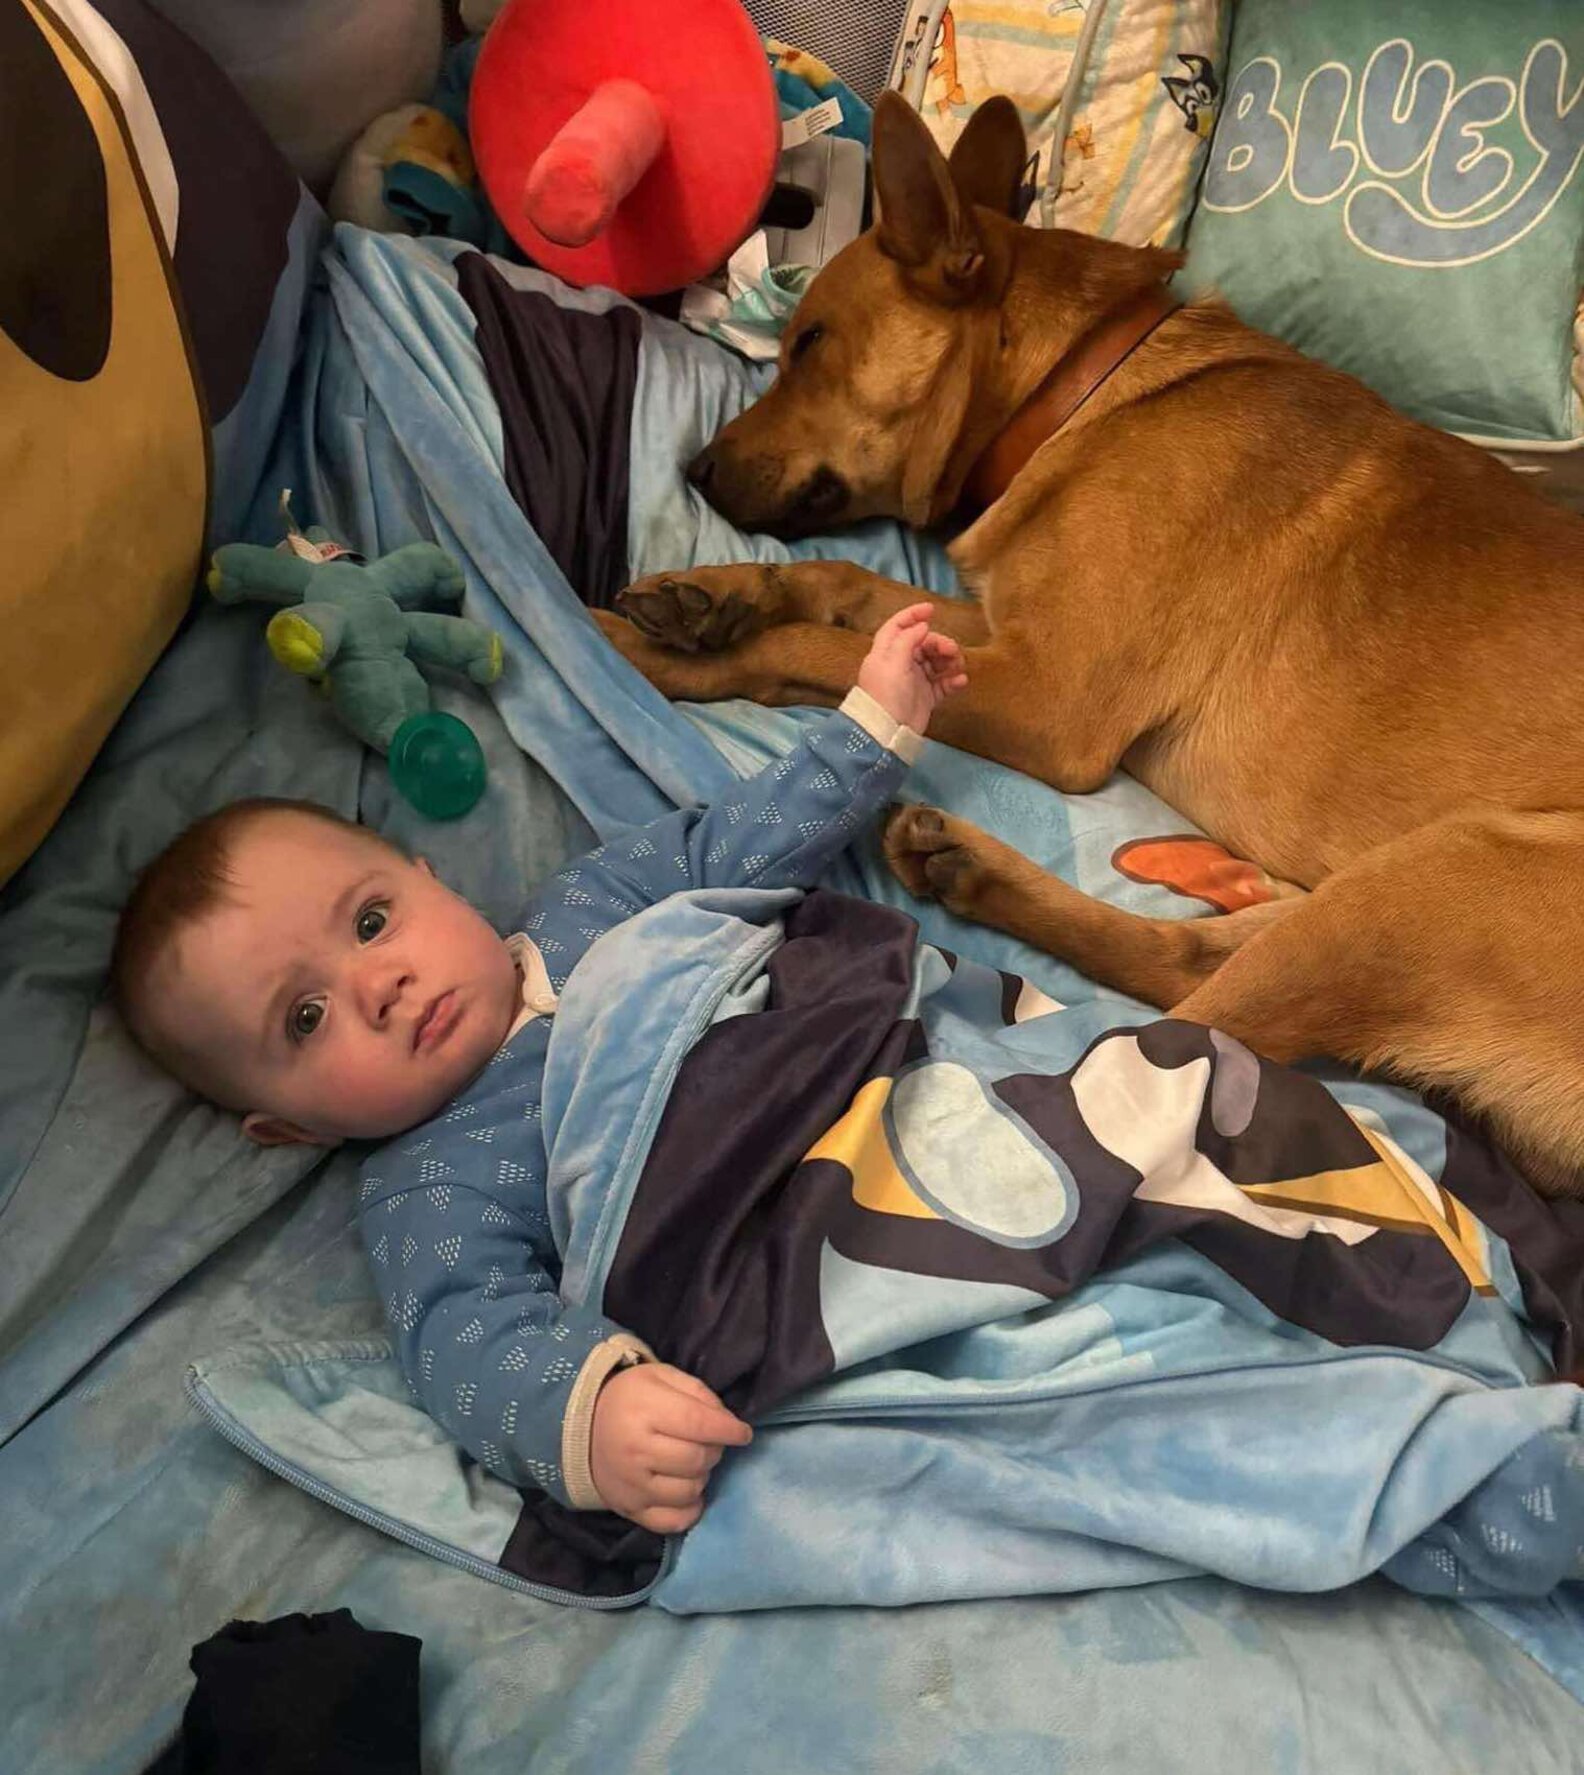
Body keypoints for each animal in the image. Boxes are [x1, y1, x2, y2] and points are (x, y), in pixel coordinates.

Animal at [595, 93, 1584, 1199]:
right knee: (1192, 965)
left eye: (810, 342)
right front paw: (711, 596)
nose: (695, 470)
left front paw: (674, 655)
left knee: (1182, 1031)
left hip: (1445, 872)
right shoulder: (1001, 632)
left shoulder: (1046, 696)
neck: (1078, 393)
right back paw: (969, 868)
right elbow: (843, 587)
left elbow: (810, 649)